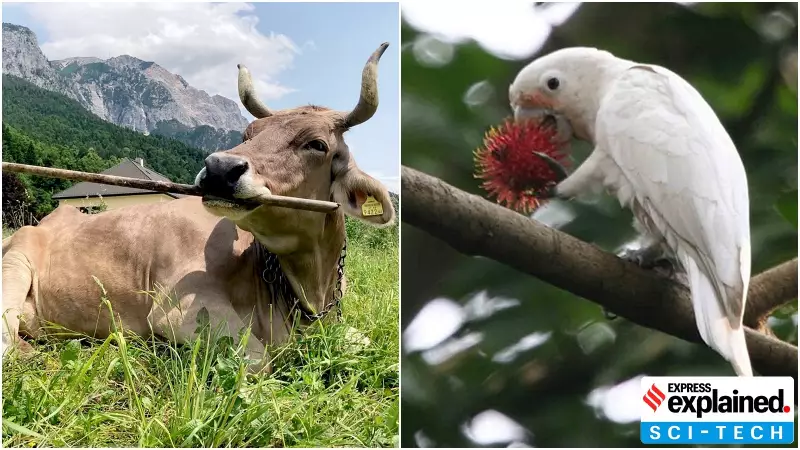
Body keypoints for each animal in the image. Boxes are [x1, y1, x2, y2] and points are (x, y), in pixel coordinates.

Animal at [1, 43, 396, 373]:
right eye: (248, 134)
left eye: (317, 144)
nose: (220, 168)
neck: (310, 290)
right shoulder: (179, 310)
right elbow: (259, 360)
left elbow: (372, 344)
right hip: (14, 264)